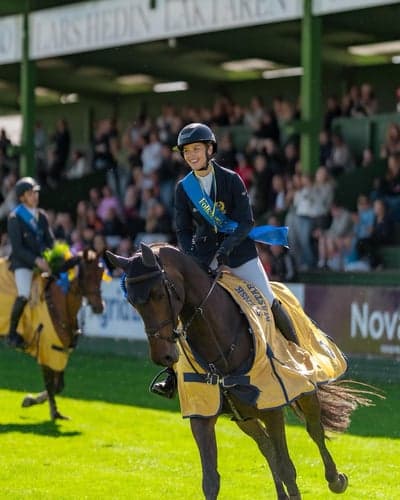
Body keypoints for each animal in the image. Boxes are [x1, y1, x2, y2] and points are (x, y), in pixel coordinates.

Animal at [1, 249, 104, 418]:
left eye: (101, 274)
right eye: (87, 275)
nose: (99, 307)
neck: (61, 305)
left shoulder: (61, 352)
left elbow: (58, 385)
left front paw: (33, 401)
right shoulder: (46, 350)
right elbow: (50, 384)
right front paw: (51, 411)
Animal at [107, 245, 372, 500]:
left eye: (159, 295)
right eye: (132, 302)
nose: (163, 356)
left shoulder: (273, 408)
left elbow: (287, 467)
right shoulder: (202, 414)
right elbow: (211, 480)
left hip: (303, 393)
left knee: (313, 430)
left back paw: (336, 479)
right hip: (244, 416)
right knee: (266, 447)